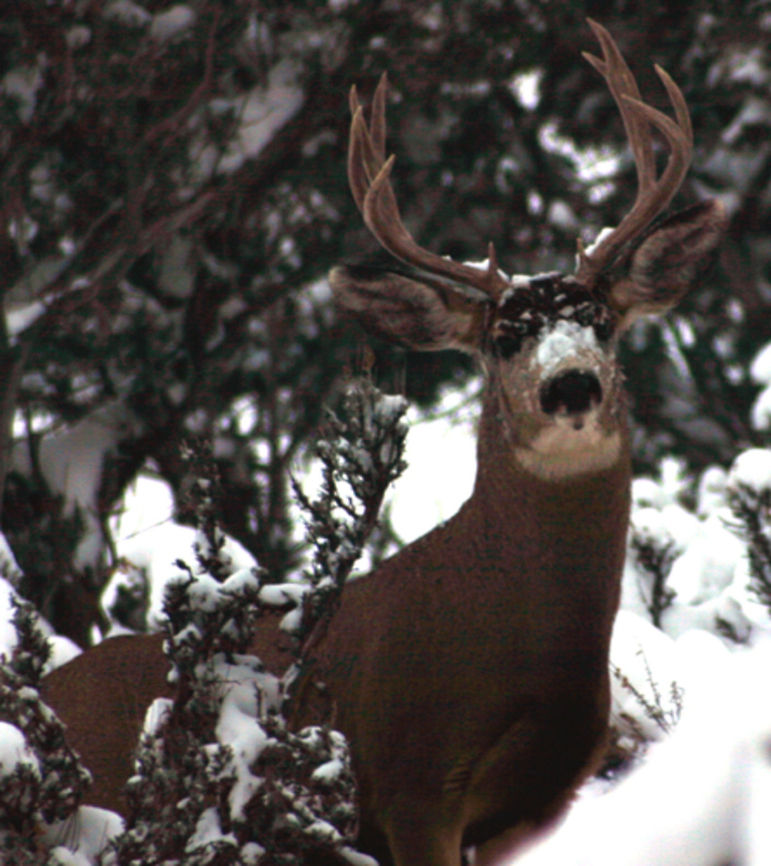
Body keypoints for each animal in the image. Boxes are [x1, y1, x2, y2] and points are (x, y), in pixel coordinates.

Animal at [40, 21, 725, 866]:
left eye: (600, 320)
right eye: (503, 339)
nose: (570, 385)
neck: (519, 637)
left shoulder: (540, 799)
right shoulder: (414, 780)